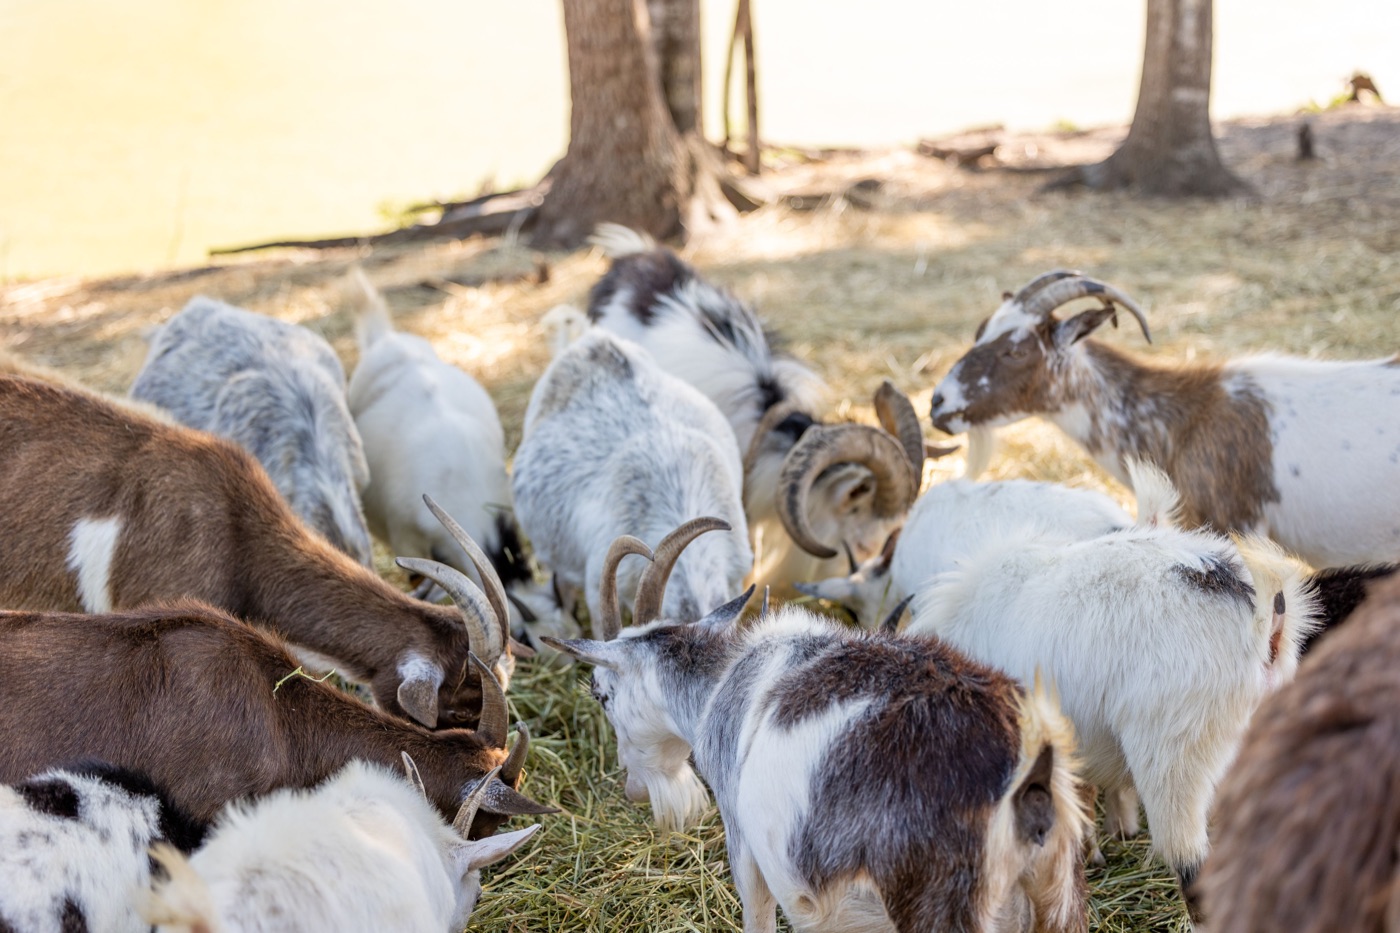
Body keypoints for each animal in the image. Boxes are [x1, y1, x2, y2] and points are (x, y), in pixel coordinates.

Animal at [544, 525, 1090, 933]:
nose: (632, 789)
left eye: (601, 694)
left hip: (938, 904)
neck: (723, 680)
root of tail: (1028, 777)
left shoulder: (744, 844)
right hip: (1059, 898)